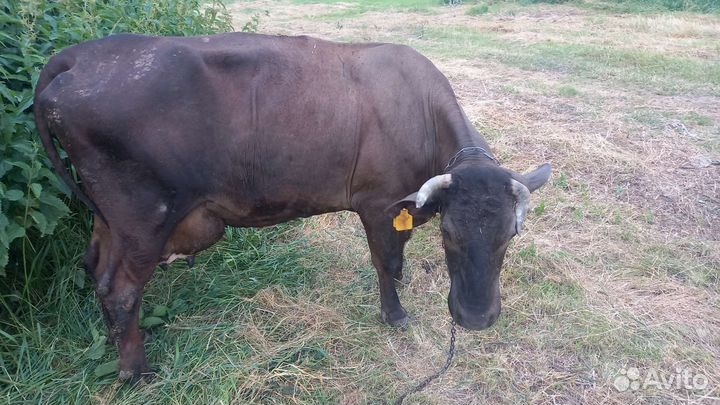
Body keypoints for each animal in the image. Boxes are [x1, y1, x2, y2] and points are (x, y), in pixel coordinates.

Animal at [34, 33, 551, 380]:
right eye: (448, 234)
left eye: (511, 235)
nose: (476, 320)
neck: (417, 108)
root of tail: (79, 56)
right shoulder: (378, 202)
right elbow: (385, 263)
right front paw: (395, 315)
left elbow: (398, 257)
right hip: (143, 216)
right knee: (120, 289)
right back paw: (136, 370)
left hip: (110, 217)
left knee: (95, 266)